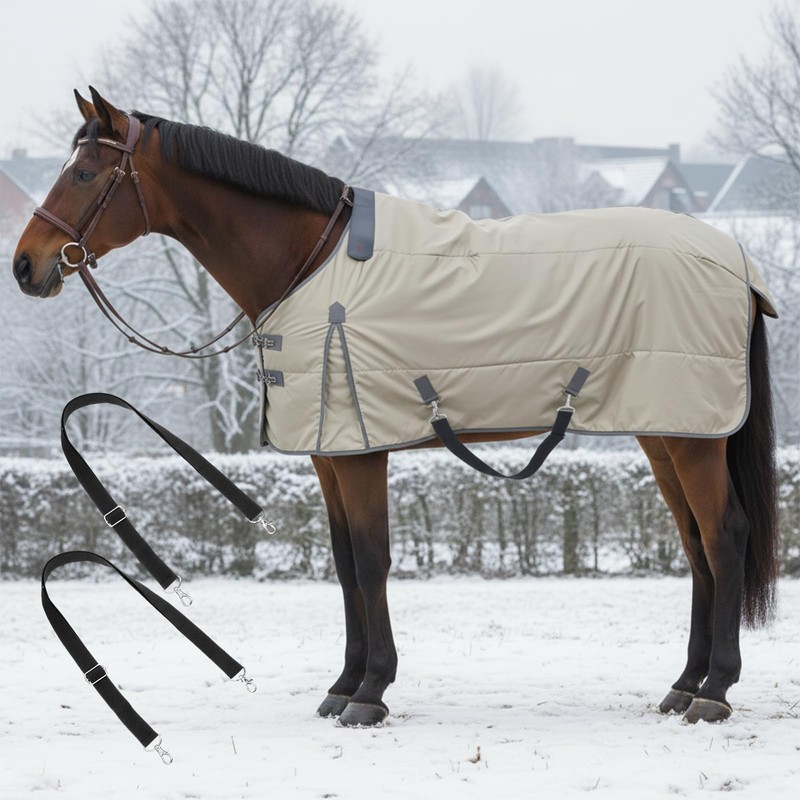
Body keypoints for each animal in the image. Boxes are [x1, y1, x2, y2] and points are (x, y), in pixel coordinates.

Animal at [13, 88, 779, 728]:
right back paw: (683, 684)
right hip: (666, 431)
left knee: (723, 536)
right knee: (696, 546)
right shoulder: (328, 455)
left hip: (693, 439)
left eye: (85, 174)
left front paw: (372, 691)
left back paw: (714, 691)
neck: (307, 263)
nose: (25, 265)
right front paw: (343, 686)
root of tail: (736, 263)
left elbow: (372, 560)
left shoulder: (361, 452)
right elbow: (345, 564)